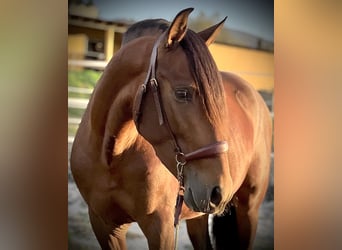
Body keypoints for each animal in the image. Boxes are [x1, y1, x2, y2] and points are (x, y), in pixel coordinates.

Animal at [70, 7, 272, 250]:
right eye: (182, 93)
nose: (219, 192)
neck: (112, 155)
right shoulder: (104, 225)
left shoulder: (161, 227)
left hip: (248, 210)